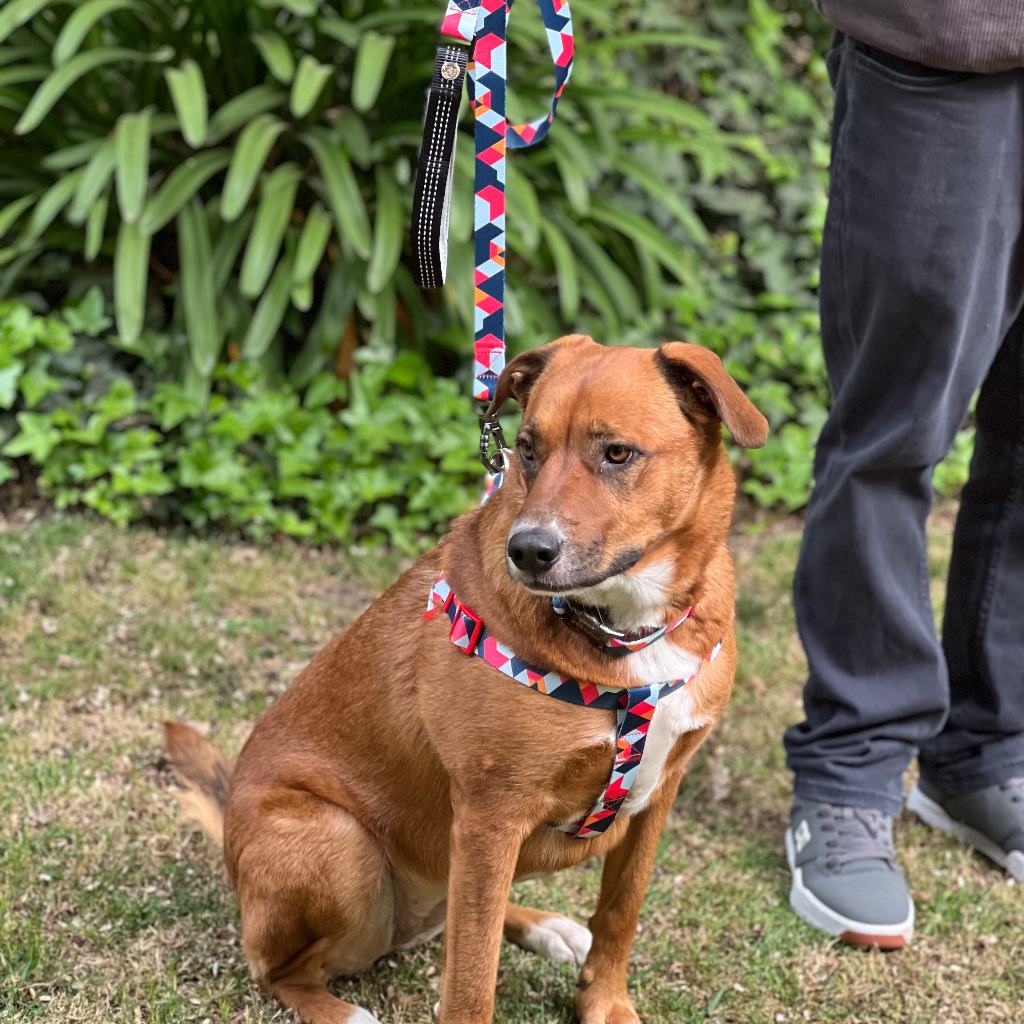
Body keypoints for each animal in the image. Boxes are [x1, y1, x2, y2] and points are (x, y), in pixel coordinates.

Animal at [163, 331, 765, 1019]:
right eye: (527, 449)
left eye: (617, 453)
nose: (527, 551)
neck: (622, 629)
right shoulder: (489, 817)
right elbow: (474, 977)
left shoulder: (657, 798)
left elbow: (620, 914)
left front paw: (604, 1002)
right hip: (341, 843)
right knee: (276, 970)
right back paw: (343, 1011)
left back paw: (543, 926)